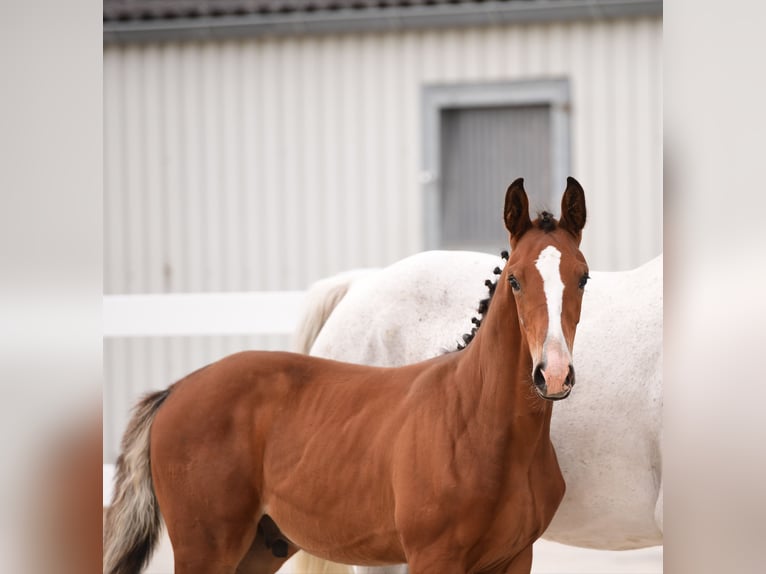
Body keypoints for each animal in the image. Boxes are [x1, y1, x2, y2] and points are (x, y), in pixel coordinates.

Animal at [105, 178, 592, 572]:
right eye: (514, 280)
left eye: (583, 277)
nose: (553, 375)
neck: (478, 422)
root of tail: (174, 391)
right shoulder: (434, 556)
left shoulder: (515, 558)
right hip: (204, 550)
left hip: (259, 549)